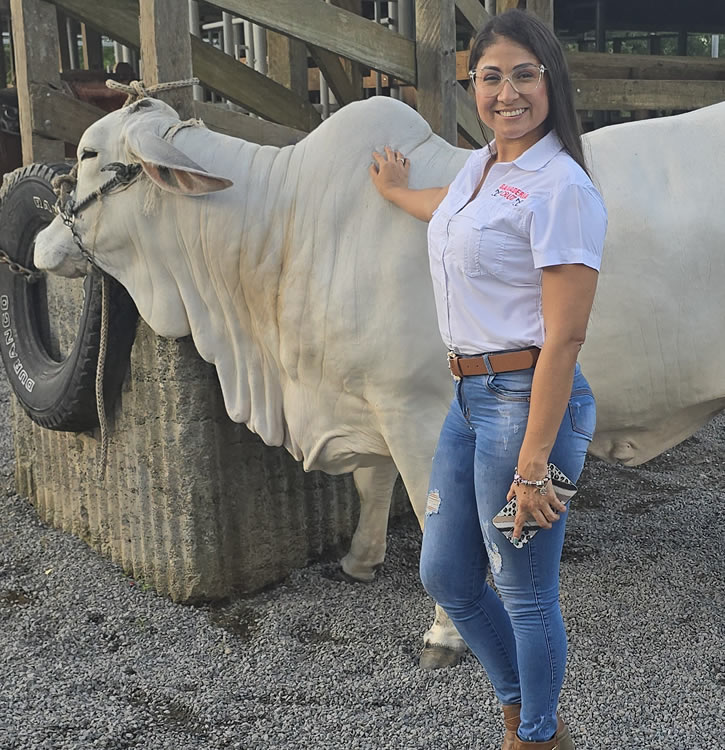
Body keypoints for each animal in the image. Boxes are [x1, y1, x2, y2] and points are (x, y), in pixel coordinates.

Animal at [32, 95, 724, 668]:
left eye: (89, 153)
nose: (38, 244)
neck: (282, 231)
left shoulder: (415, 409)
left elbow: (429, 512)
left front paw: (446, 634)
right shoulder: (365, 399)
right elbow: (372, 484)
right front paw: (358, 561)